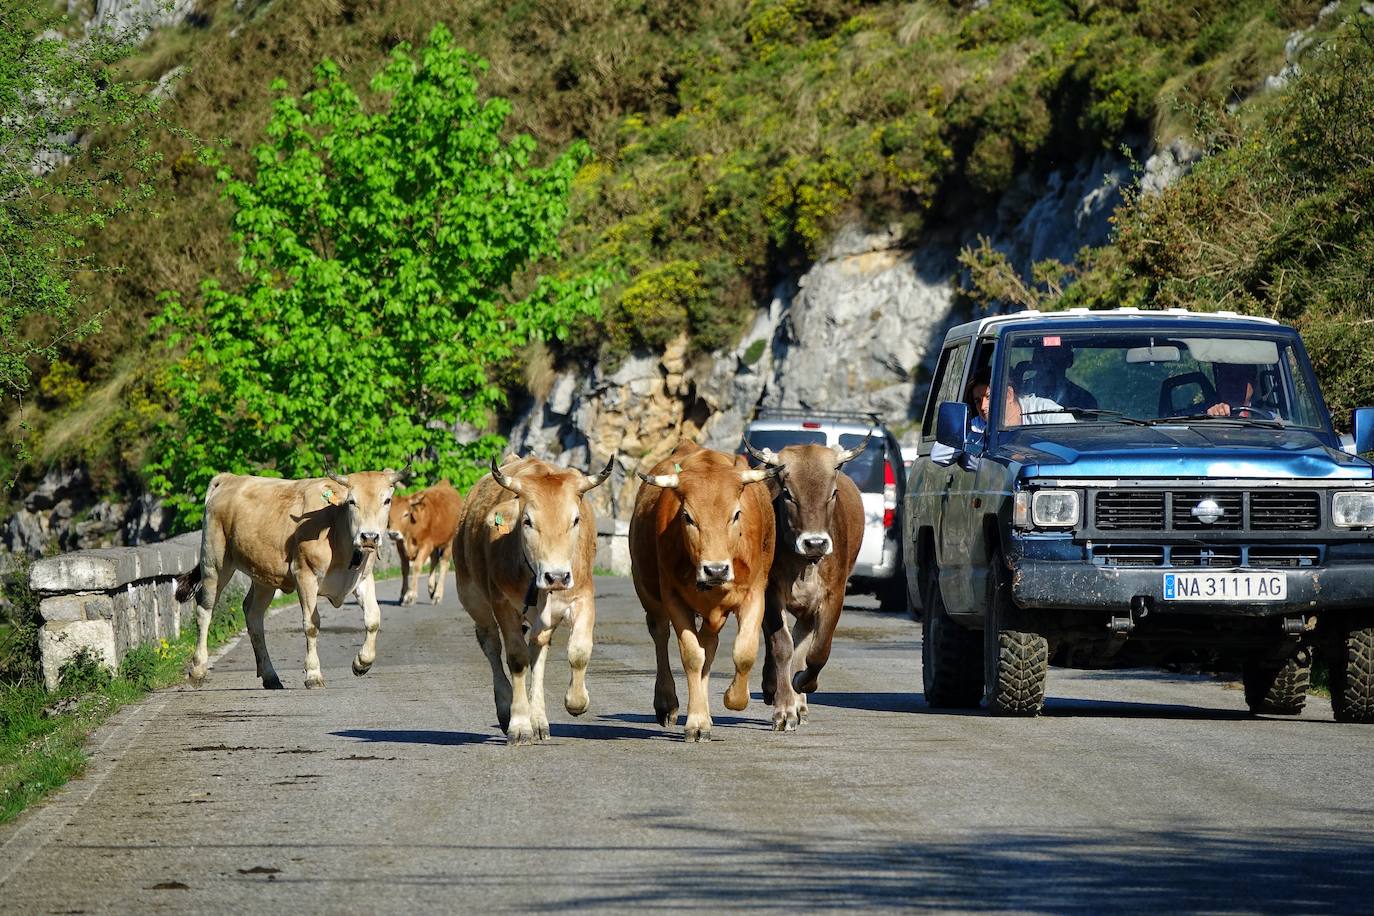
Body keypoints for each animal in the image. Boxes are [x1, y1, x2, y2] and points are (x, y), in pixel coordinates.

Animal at [390, 480, 464, 609]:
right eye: (389, 514)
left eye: (406, 514)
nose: (393, 533)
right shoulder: (400, 546)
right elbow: (404, 569)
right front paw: (402, 595)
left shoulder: (426, 545)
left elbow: (416, 566)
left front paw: (410, 596)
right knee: (434, 559)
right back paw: (432, 588)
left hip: (449, 542)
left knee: (444, 563)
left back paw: (437, 595)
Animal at [629, 442, 780, 747]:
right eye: (688, 517)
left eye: (736, 514)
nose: (716, 570)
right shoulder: (673, 598)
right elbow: (691, 656)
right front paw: (696, 722)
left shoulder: (755, 594)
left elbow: (744, 652)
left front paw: (734, 699)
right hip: (649, 594)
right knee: (661, 635)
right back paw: (667, 703)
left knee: (709, 646)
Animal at [747, 436, 862, 730]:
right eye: (788, 493)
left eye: (832, 493)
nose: (815, 543)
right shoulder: (770, 593)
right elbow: (781, 646)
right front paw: (784, 709)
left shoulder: (833, 596)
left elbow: (817, 651)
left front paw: (801, 685)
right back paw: (773, 688)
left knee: (802, 643)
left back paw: (799, 700)